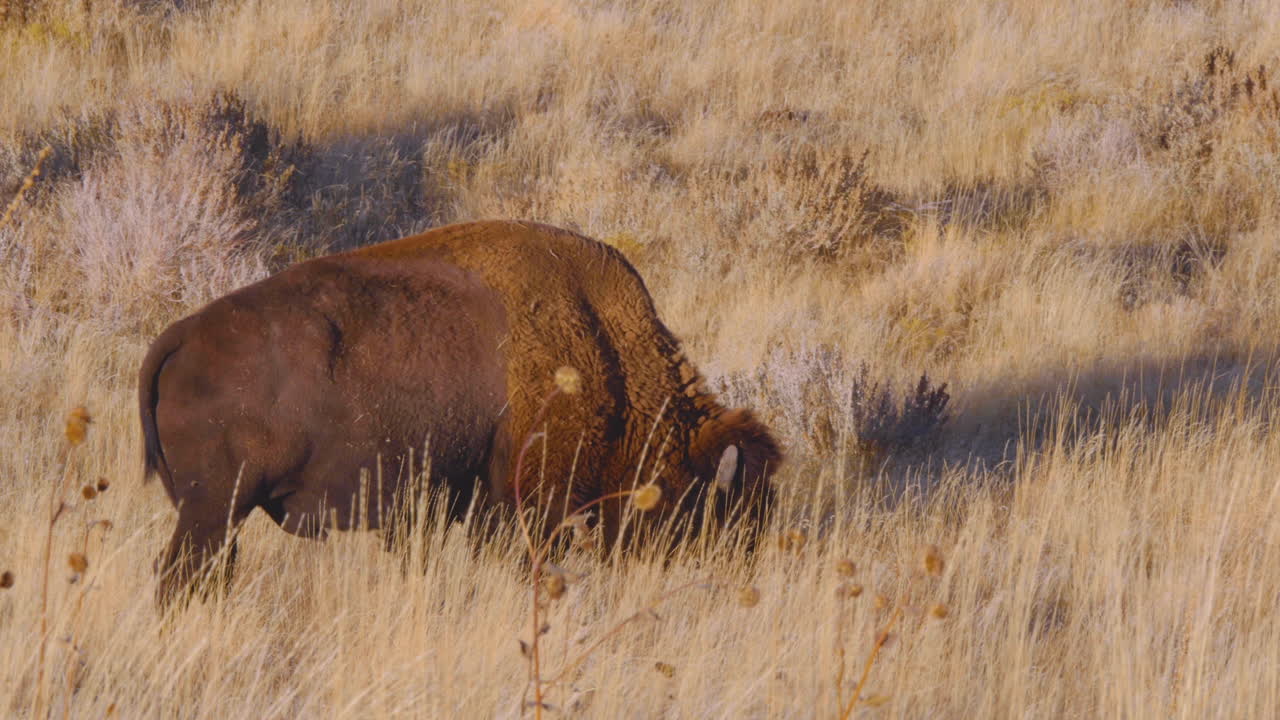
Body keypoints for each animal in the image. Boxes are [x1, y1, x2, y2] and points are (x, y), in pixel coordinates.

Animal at [140, 220, 781, 605]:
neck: (607, 357)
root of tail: (180, 335)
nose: (742, 579)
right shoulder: (523, 508)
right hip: (215, 511)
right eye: (719, 509)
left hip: (220, 517)